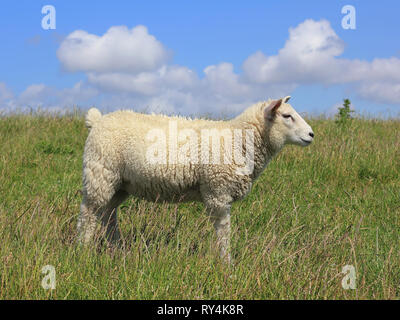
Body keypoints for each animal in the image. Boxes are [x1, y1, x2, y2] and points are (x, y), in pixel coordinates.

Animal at [76, 96, 314, 264]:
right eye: (287, 116)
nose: (311, 134)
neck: (239, 139)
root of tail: (97, 120)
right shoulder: (218, 191)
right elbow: (223, 231)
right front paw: (227, 264)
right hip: (100, 173)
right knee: (89, 214)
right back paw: (83, 251)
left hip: (119, 184)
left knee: (108, 215)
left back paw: (116, 249)